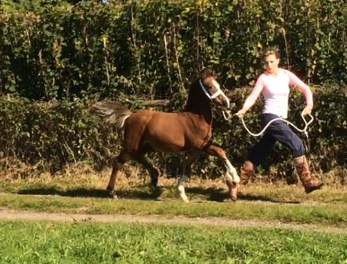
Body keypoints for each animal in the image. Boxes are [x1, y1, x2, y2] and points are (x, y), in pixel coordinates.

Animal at [91, 69, 241, 201]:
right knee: (118, 163)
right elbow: (188, 168)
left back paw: (154, 180)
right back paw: (112, 192)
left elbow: (220, 152)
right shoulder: (197, 148)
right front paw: (183, 195)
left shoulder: (203, 146)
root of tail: (130, 116)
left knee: (138, 157)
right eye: (210, 86)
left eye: (218, 85)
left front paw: (234, 177)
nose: (226, 102)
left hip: (146, 146)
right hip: (130, 146)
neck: (196, 118)